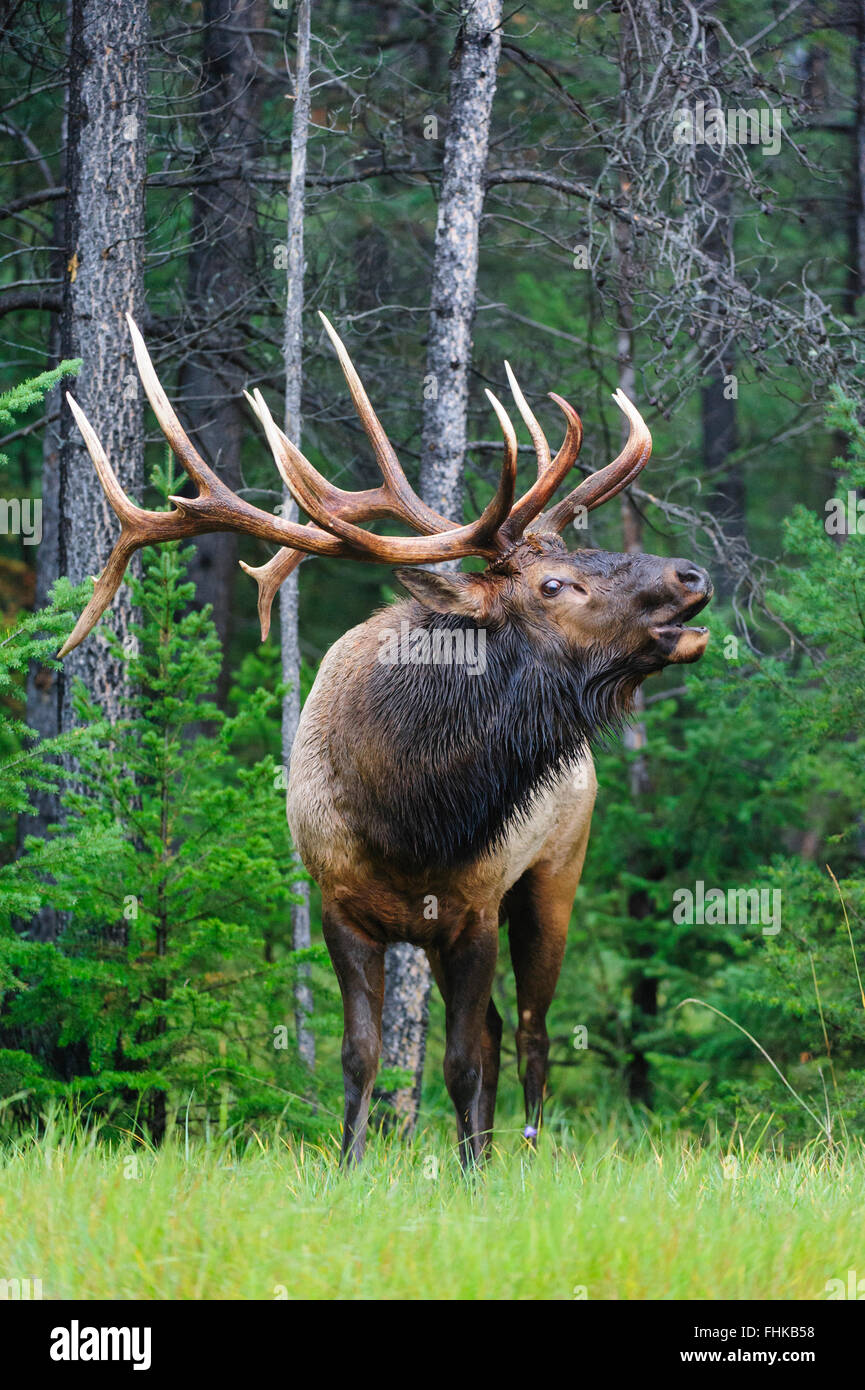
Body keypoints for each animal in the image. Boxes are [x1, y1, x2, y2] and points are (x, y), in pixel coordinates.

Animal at [59, 312, 712, 1162]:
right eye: (554, 583)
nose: (690, 575)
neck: (408, 810)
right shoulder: (338, 904)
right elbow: (362, 1055)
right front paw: (351, 1165)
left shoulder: (472, 908)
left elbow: (460, 1061)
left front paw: (468, 1173)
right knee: (503, 1028)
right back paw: (489, 1152)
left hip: (554, 870)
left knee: (531, 1032)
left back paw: (521, 1155)